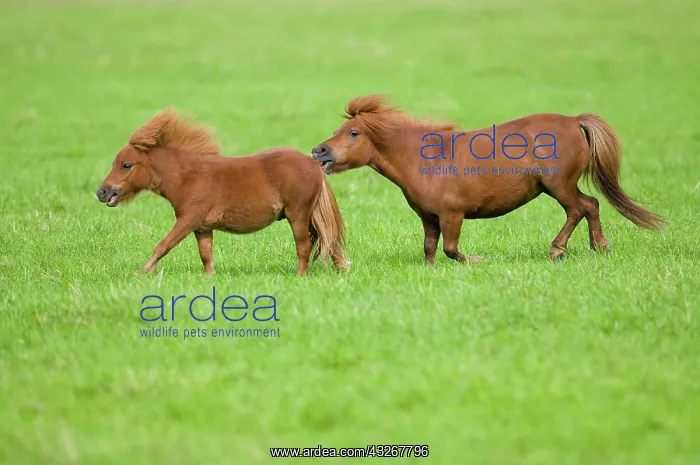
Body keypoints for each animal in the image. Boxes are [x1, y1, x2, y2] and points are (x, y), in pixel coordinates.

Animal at [96, 108, 348, 275]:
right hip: (311, 215)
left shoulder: (188, 220)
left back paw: (300, 276)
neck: (188, 177)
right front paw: (210, 278)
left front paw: (141, 273)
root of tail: (312, 164)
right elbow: (206, 255)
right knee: (330, 242)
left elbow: (163, 245)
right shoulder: (202, 228)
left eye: (126, 165)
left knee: (305, 246)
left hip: (298, 215)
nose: (102, 192)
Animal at [311, 95, 664, 264]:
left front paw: (478, 260)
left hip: (559, 185)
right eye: (337, 130)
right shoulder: (429, 218)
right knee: (588, 206)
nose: (318, 150)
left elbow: (452, 249)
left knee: (583, 206)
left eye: (353, 133)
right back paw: (595, 246)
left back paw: (565, 249)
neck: (426, 159)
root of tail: (573, 120)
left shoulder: (452, 215)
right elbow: (430, 249)